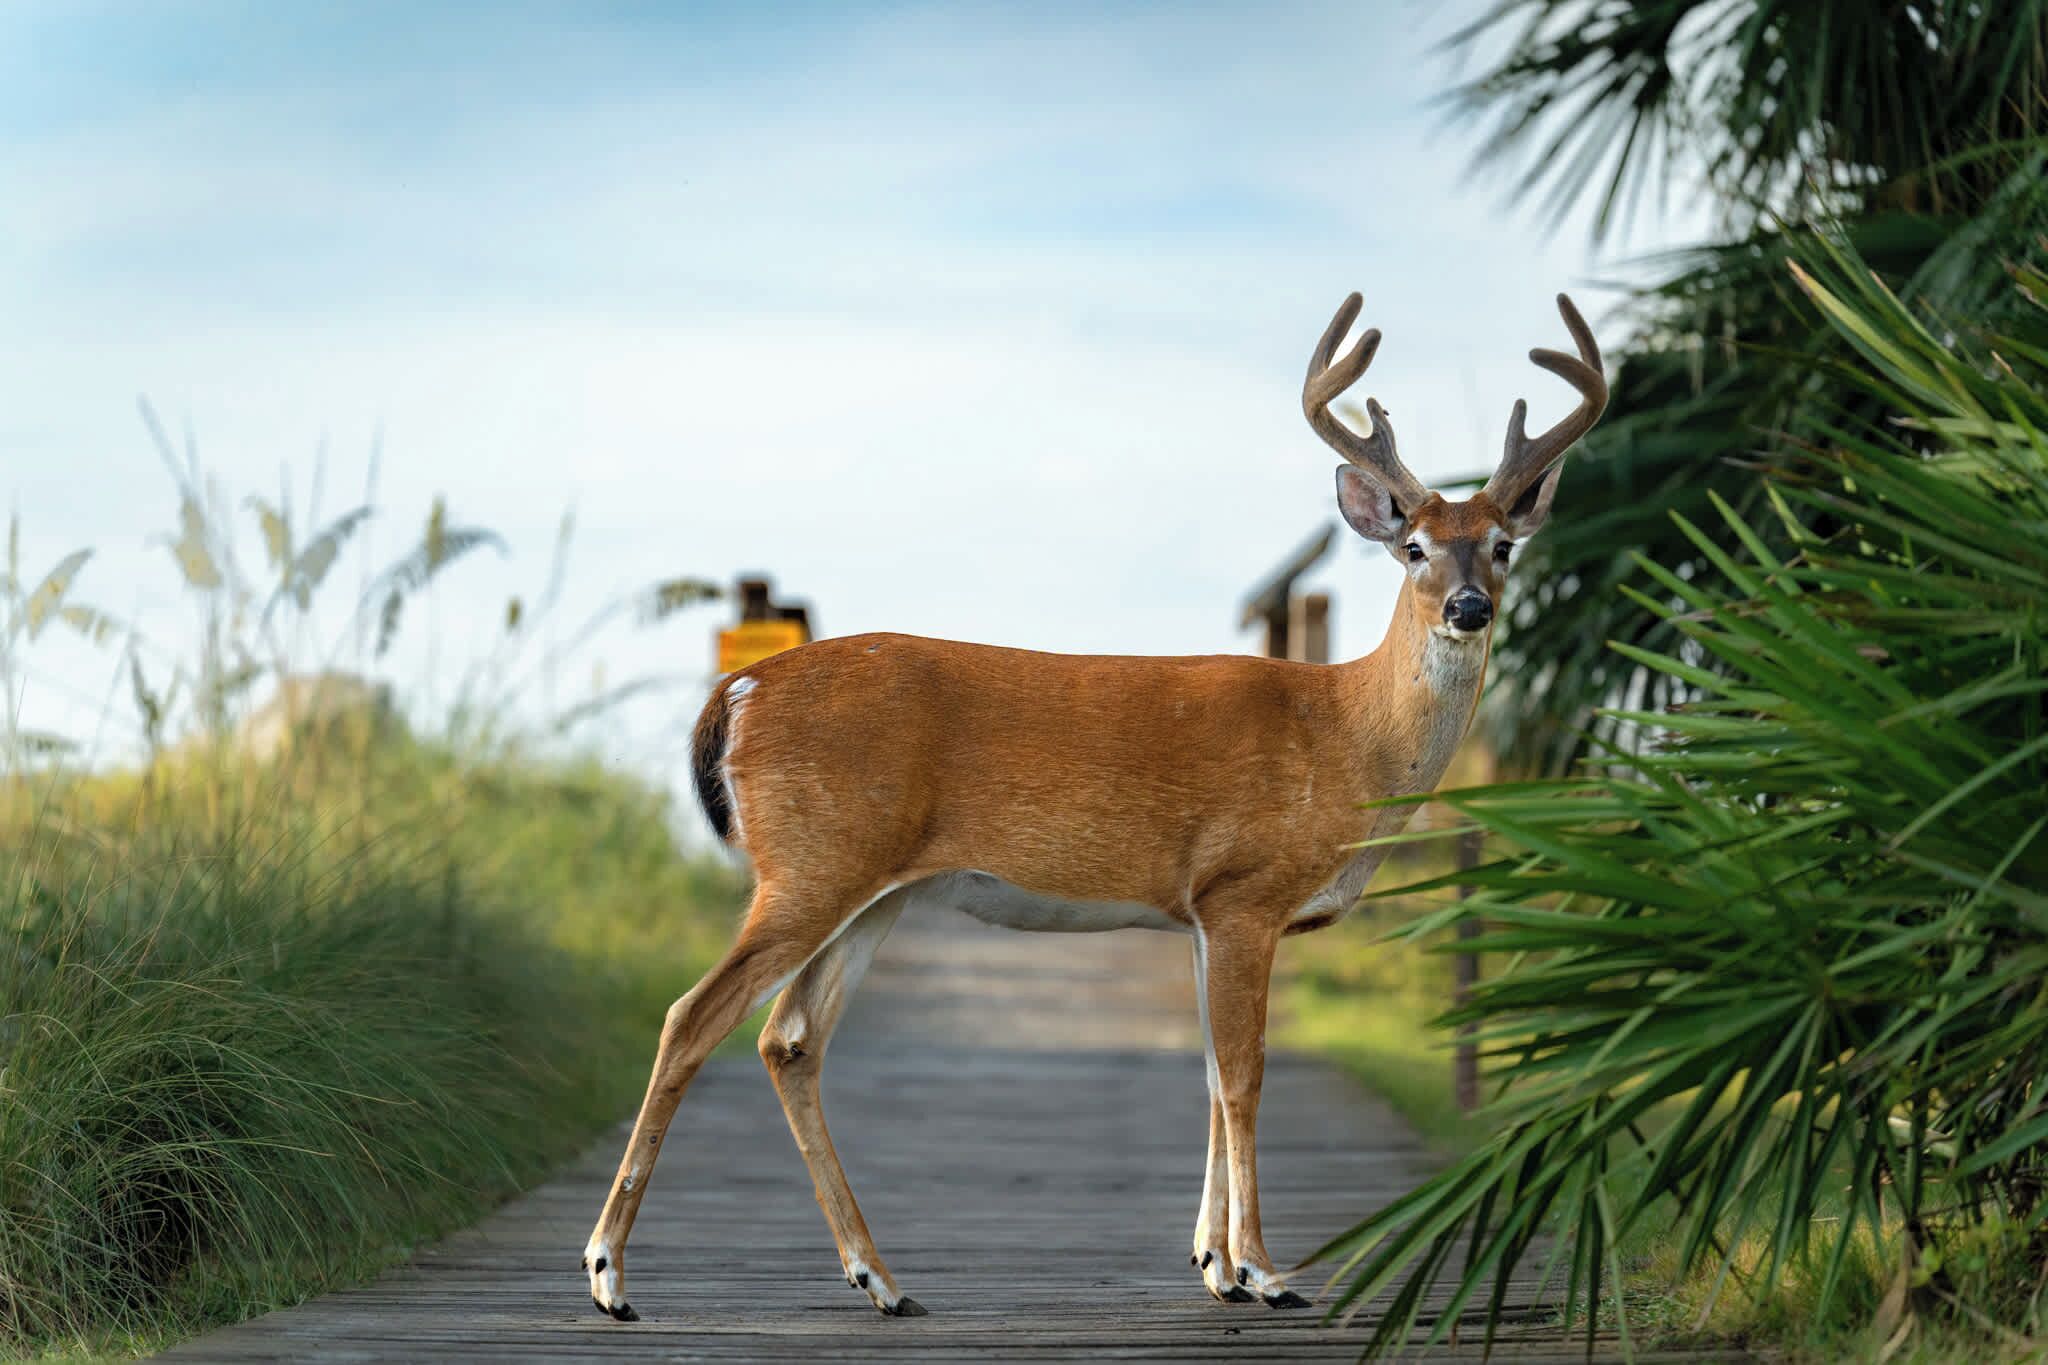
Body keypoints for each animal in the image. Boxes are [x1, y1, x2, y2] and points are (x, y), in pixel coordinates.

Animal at [581, 291, 1606, 1322]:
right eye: (1414, 547)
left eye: (1504, 544)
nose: (1470, 607)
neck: (1346, 734)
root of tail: (737, 690)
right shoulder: (1244, 889)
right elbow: (1244, 1075)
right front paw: (1266, 1271)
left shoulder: (1200, 912)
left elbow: (1208, 1074)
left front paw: (1213, 1264)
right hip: (811, 862)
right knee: (692, 1017)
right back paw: (610, 1275)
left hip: (872, 889)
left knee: (789, 1039)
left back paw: (881, 1279)